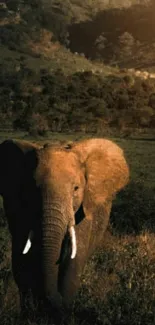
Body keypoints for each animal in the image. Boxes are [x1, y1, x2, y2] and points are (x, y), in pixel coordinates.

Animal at [0, 137, 129, 318]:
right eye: (31, 189)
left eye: (76, 189)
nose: (51, 302)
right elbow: (20, 258)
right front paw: (30, 313)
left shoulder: (83, 211)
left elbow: (73, 260)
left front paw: (63, 313)